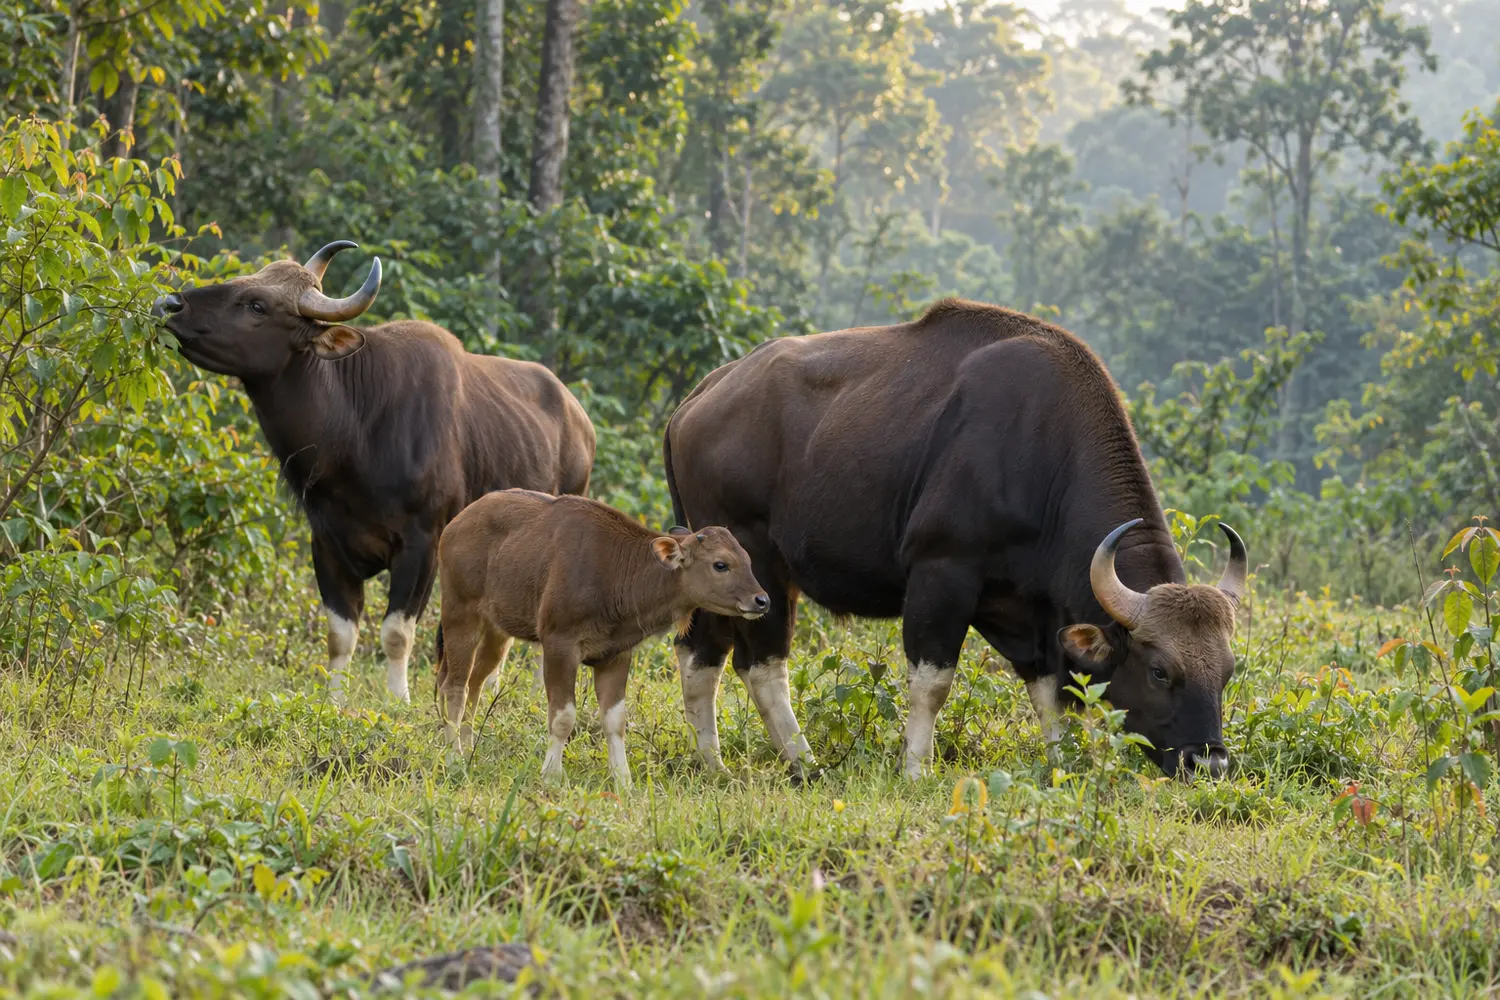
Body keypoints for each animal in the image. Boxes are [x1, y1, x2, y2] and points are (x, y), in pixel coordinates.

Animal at [155, 242, 595, 706]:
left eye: (258, 305)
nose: (169, 303)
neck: (357, 431)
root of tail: (579, 419)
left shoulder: (421, 546)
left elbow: (396, 633)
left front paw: (399, 700)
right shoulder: (326, 543)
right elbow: (340, 635)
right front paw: (333, 702)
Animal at [434, 490, 769, 787]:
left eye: (748, 560)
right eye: (720, 564)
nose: (761, 600)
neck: (615, 575)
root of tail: (454, 526)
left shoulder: (616, 653)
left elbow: (615, 719)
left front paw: (623, 779)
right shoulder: (559, 643)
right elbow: (563, 717)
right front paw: (551, 775)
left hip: (497, 631)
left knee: (475, 685)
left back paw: (468, 749)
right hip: (459, 614)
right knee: (454, 687)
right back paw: (453, 758)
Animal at [663, 298, 1247, 780]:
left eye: (1227, 672)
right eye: (1159, 671)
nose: (1208, 762)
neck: (1041, 456)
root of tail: (700, 396)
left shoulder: (1030, 610)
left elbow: (1049, 691)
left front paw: (1061, 768)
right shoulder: (942, 572)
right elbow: (933, 683)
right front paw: (916, 771)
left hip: (716, 575)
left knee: (699, 656)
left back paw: (712, 763)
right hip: (756, 566)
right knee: (762, 666)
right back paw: (805, 763)